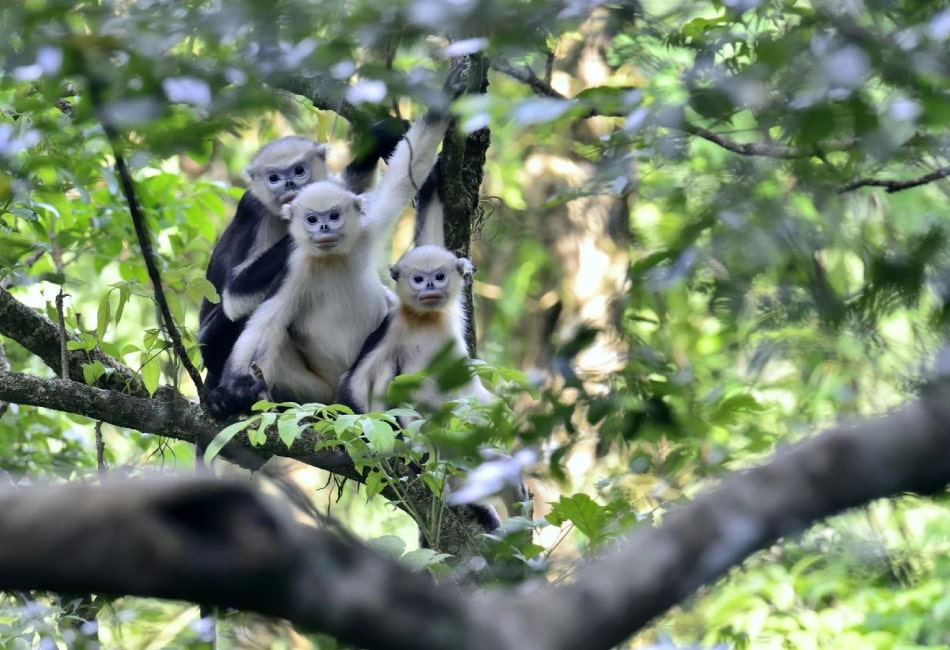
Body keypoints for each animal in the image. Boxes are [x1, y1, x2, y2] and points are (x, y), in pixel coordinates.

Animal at [197, 121, 410, 390]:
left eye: (299, 171)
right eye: (274, 178)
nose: (289, 185)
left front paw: (378, 138)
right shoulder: (252, 210)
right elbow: (234, 297)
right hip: (209, 343)